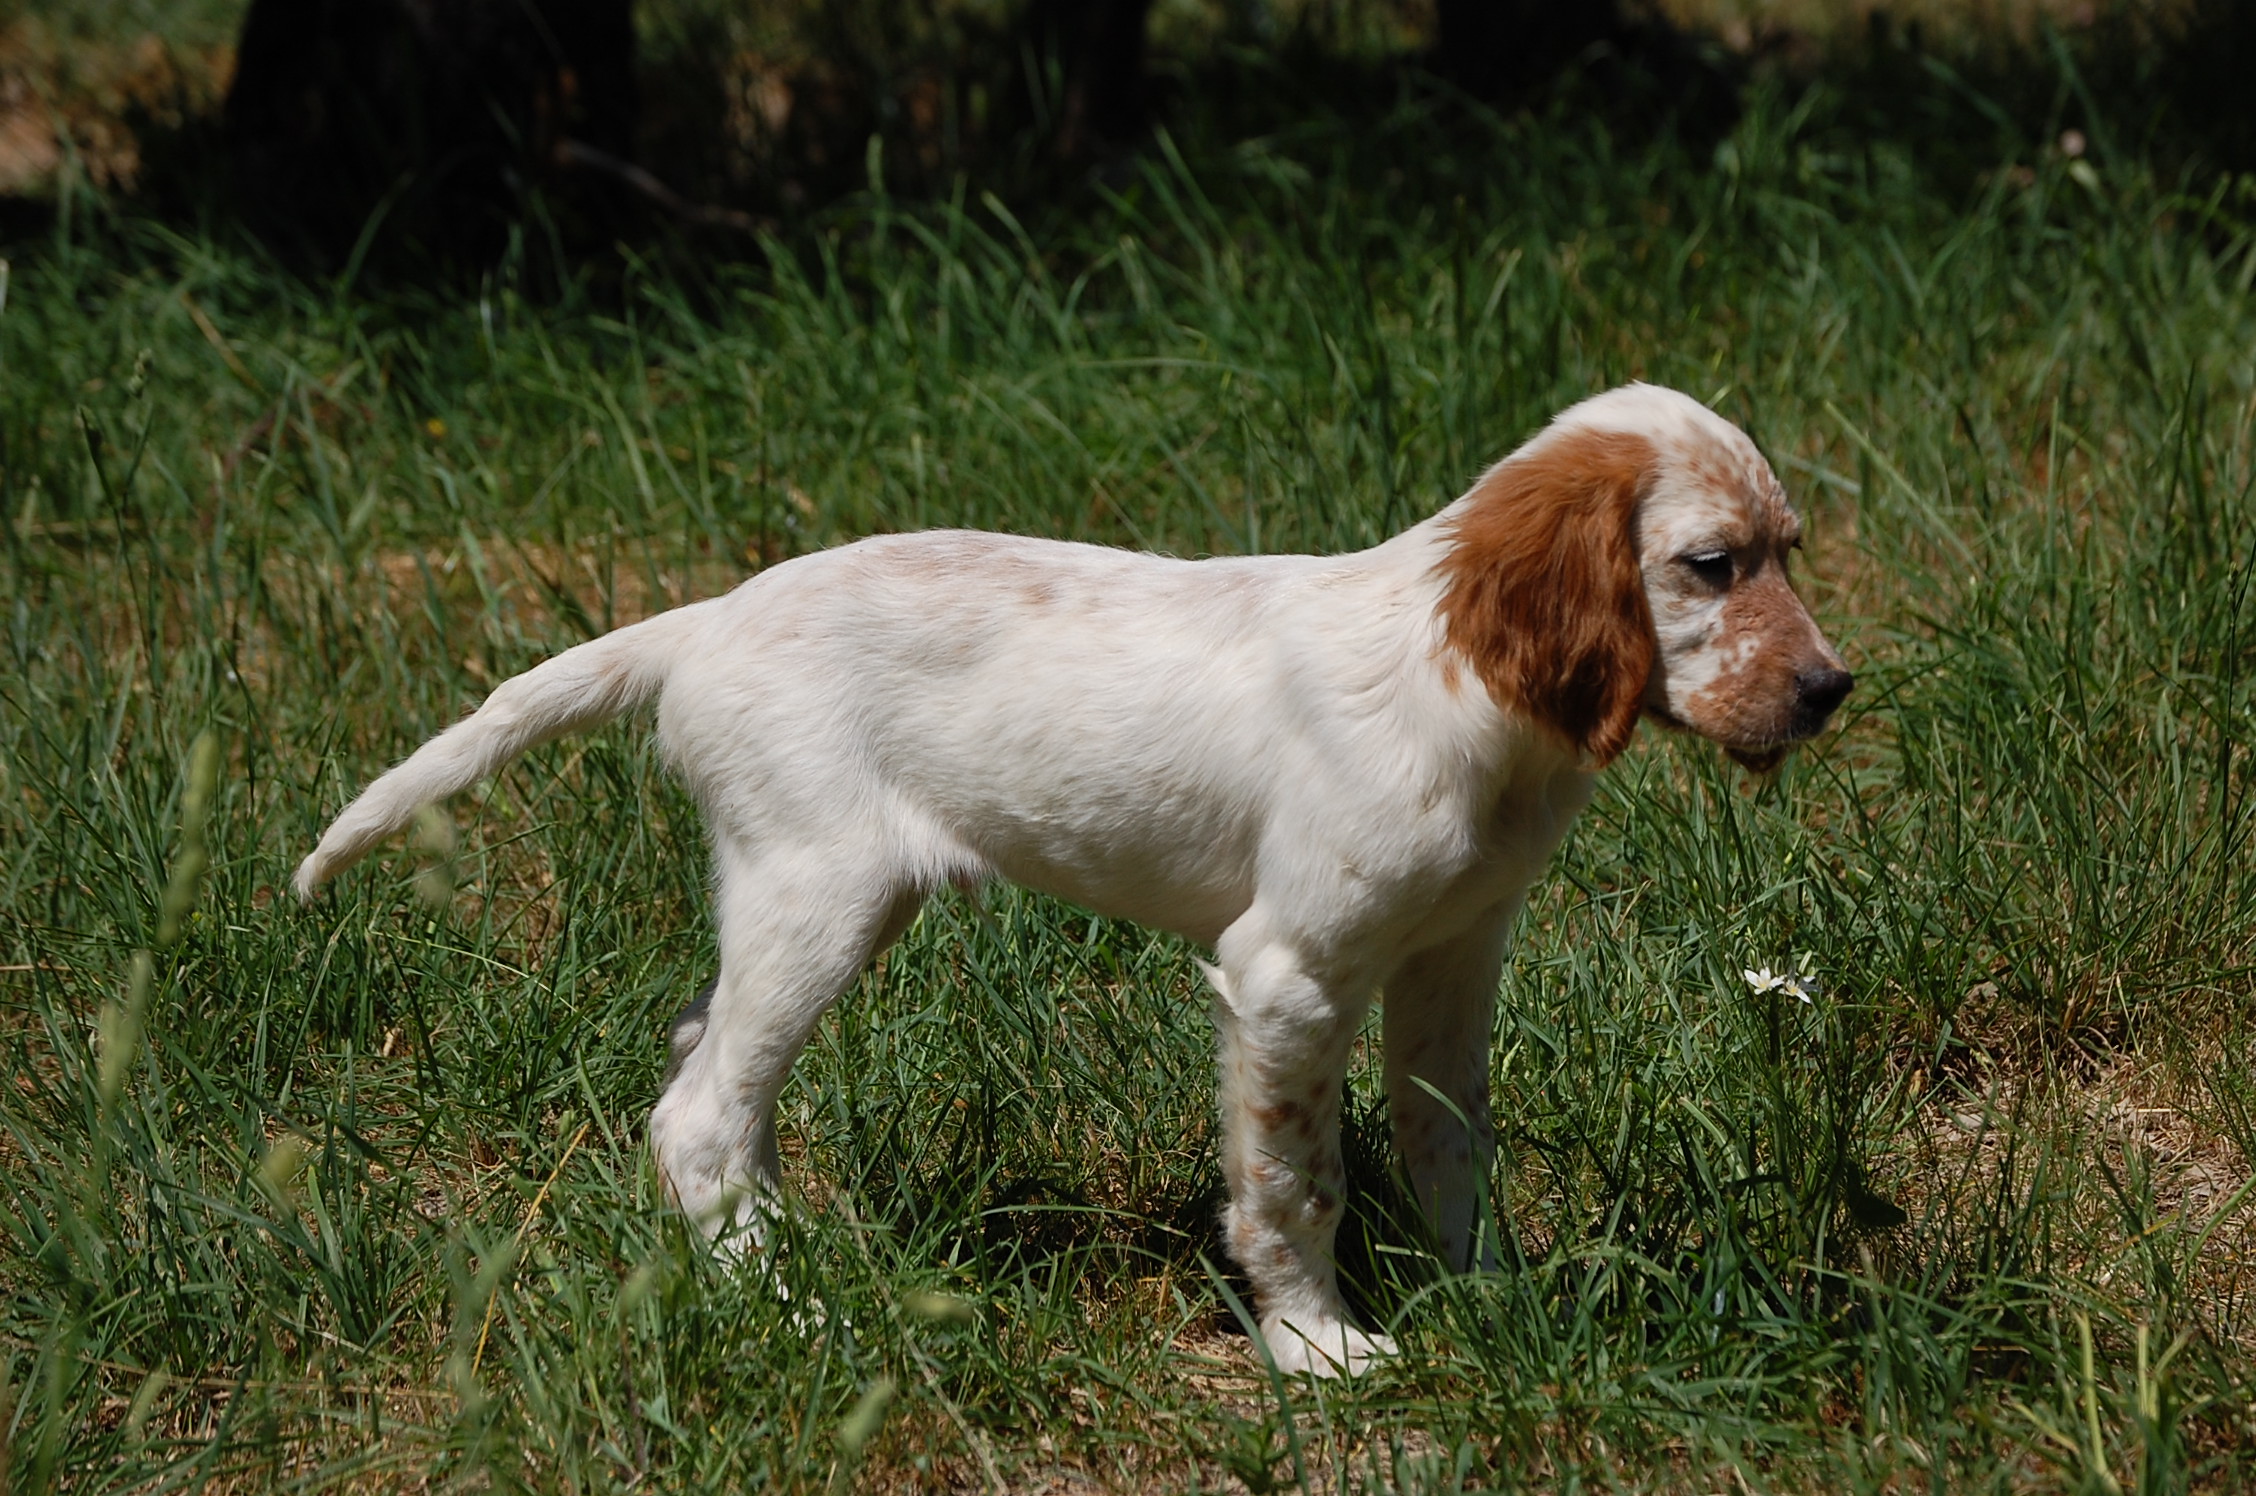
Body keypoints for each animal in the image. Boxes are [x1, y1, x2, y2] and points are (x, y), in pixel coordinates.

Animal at [296, 382, 1851, 1376]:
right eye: (1712, 564)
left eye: (1787, 555)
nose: (1833, 690)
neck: (1466, 679)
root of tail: (704, 618)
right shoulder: (1288, 975)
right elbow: (1295, 1182)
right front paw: (1318, 1346)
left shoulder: (1452, 960)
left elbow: (1447, 1142)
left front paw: (1492, 1298)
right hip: (821, 893)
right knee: (697, 1112)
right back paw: (786, 1303)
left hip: (801, 901)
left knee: (706, 1068)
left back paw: (774, 1247)